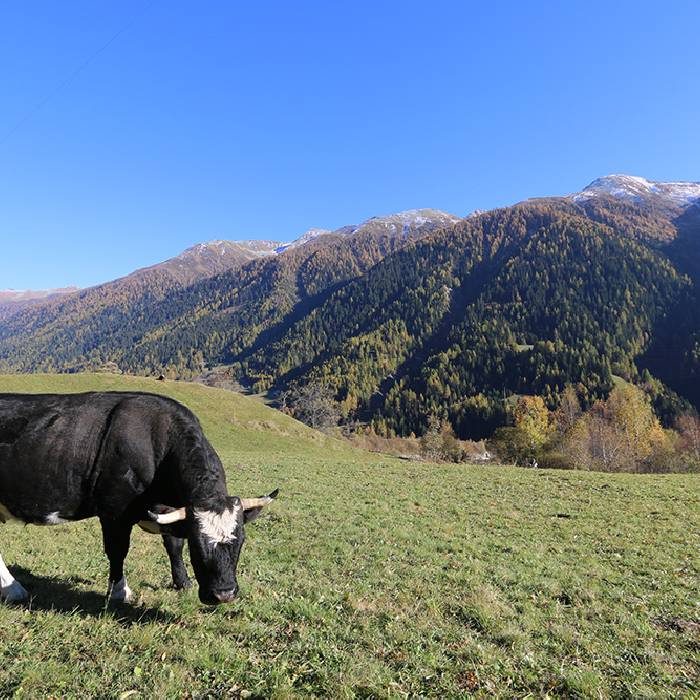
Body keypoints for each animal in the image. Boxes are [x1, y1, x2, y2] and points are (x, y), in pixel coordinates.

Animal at [0, 392, 278, 604]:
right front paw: (119, 592)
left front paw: (183, 582)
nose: (224, 594)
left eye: (241, 541)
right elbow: (117, 550)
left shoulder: (170, 511)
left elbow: (173, 545)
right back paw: (13, 589)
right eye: (198, 545)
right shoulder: (114, 512)